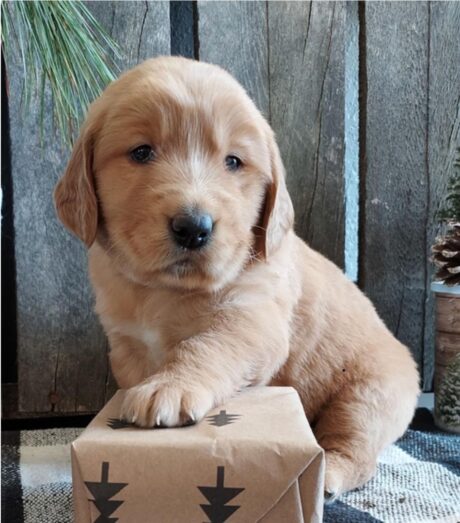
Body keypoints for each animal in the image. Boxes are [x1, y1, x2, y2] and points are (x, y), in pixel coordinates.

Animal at [54, 57, 420, 500]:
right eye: (141, 152)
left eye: (233, 162)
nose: (193, 228)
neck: (163, 292)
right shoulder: (125, 343)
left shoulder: (251, 319)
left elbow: (205, 345)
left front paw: (169, 386)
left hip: (368, 396)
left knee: (356, 446)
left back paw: (330, 473)